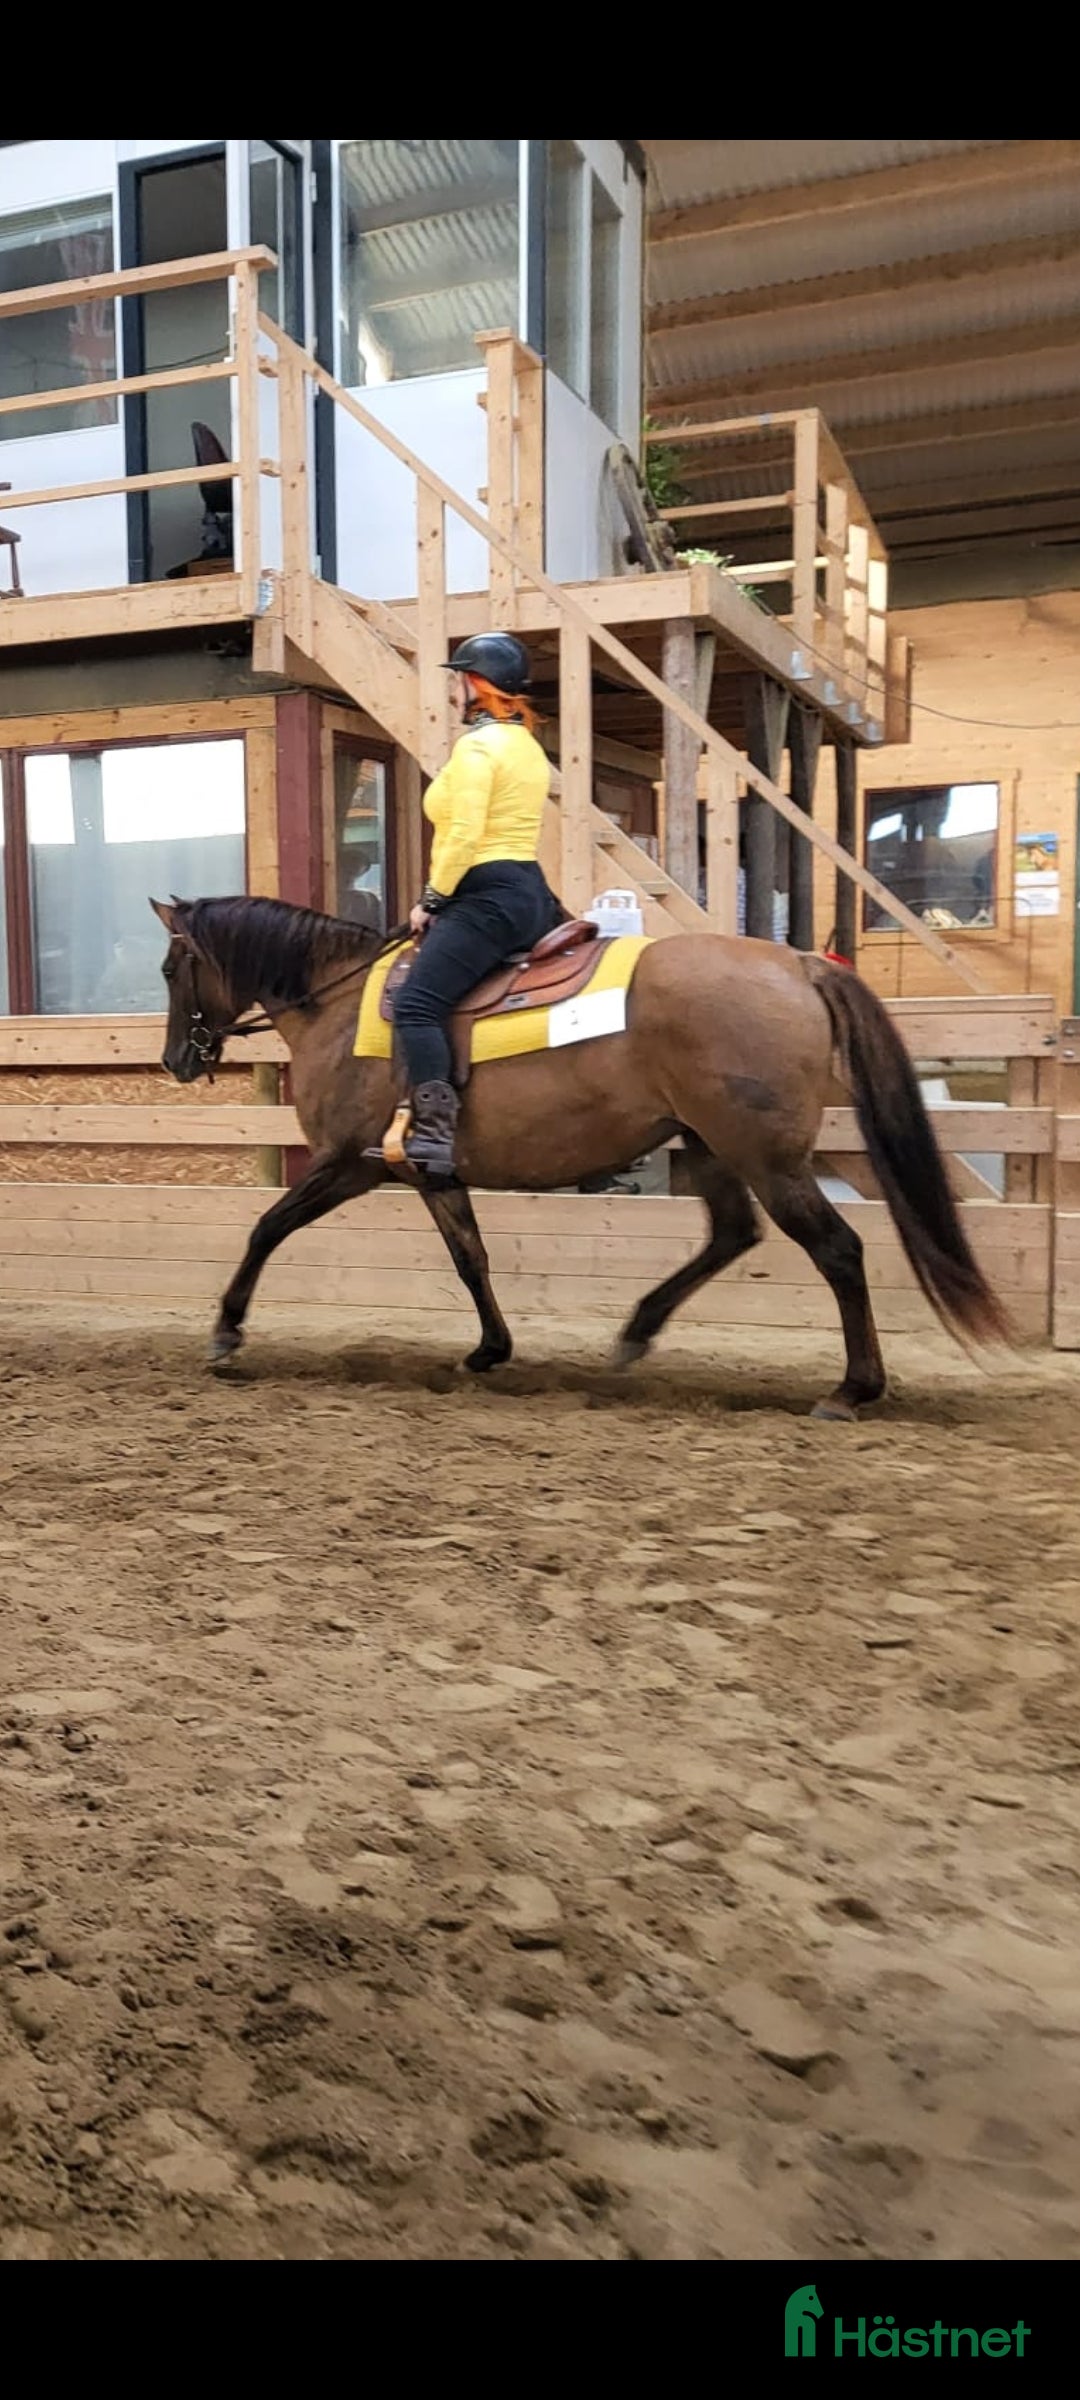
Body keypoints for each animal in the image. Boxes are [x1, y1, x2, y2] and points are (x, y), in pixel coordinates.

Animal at [150, 895, 1009, 1418]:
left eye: (168, 967)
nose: (176, 1060)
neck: (339, 1003)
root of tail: (798, 963)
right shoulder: (429, 1170)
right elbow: (471, 1257)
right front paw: (489, 1350)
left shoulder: (351, 1163)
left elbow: (267, 1227)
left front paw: (226, 1331)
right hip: (708, 1144)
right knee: (733, 1234)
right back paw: (636, 1332)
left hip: (764, 1157)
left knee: (836, 1248)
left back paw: (852, 1388)